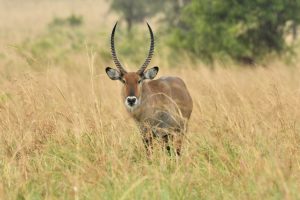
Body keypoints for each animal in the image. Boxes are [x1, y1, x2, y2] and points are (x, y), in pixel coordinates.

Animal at [105, 22, 193, 156]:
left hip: (178, 132)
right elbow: (149, 154)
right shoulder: (145, 135)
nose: (131, 100)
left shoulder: (163, 133)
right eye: (124, 81)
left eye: (139, 80)